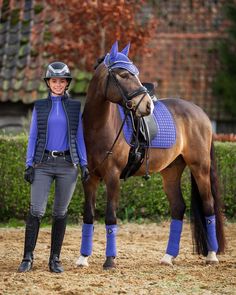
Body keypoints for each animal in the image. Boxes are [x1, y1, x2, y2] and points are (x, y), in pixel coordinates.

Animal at [75, 42, 225, 270]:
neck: (98, 128)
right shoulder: (89, 178)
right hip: (171, 171)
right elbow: (89, 216)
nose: (148, 106)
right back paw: (168, 257)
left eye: (135, 73)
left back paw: (211, 255)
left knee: (208, 205)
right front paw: (83, 258)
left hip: (200, 168)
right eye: (123, 74)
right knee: (178, 207)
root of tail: (201, 113)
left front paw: (109, 260)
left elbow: (110, 217)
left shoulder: (112, 177)